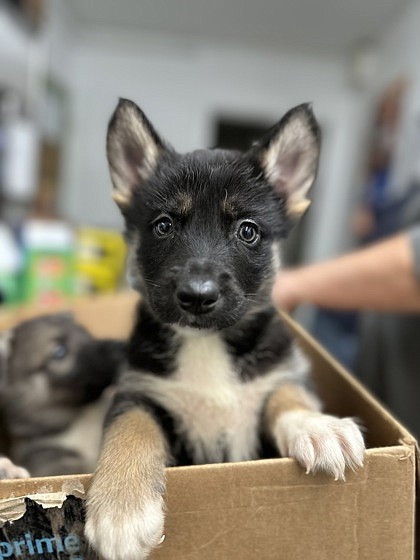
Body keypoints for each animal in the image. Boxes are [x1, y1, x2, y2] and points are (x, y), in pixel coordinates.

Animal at [85, 100, 364, 560]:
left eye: (247, 230)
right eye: (163, 225)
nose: (198, 297)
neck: (206, 343)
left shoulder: (277, 373)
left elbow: (287, 395)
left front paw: (318, 427)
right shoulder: (137, 392)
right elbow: (131, 429)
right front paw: (120, 508)